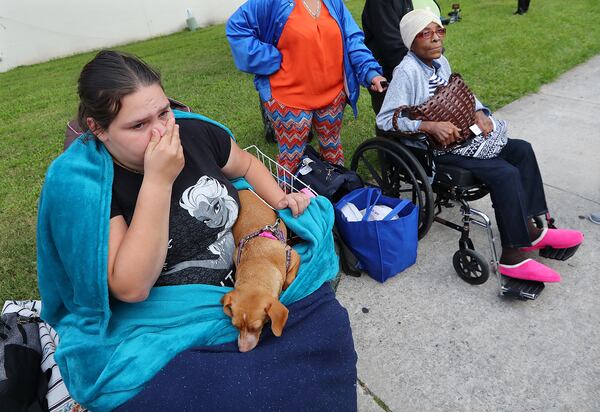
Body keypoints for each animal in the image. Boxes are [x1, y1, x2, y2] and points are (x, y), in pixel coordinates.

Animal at [221, 188, 300, 352]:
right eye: (235, 326)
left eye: (257, 327)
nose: (242, 350)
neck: (258, 261)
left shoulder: (293, 256)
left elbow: (288, 280)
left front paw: (286, 286)